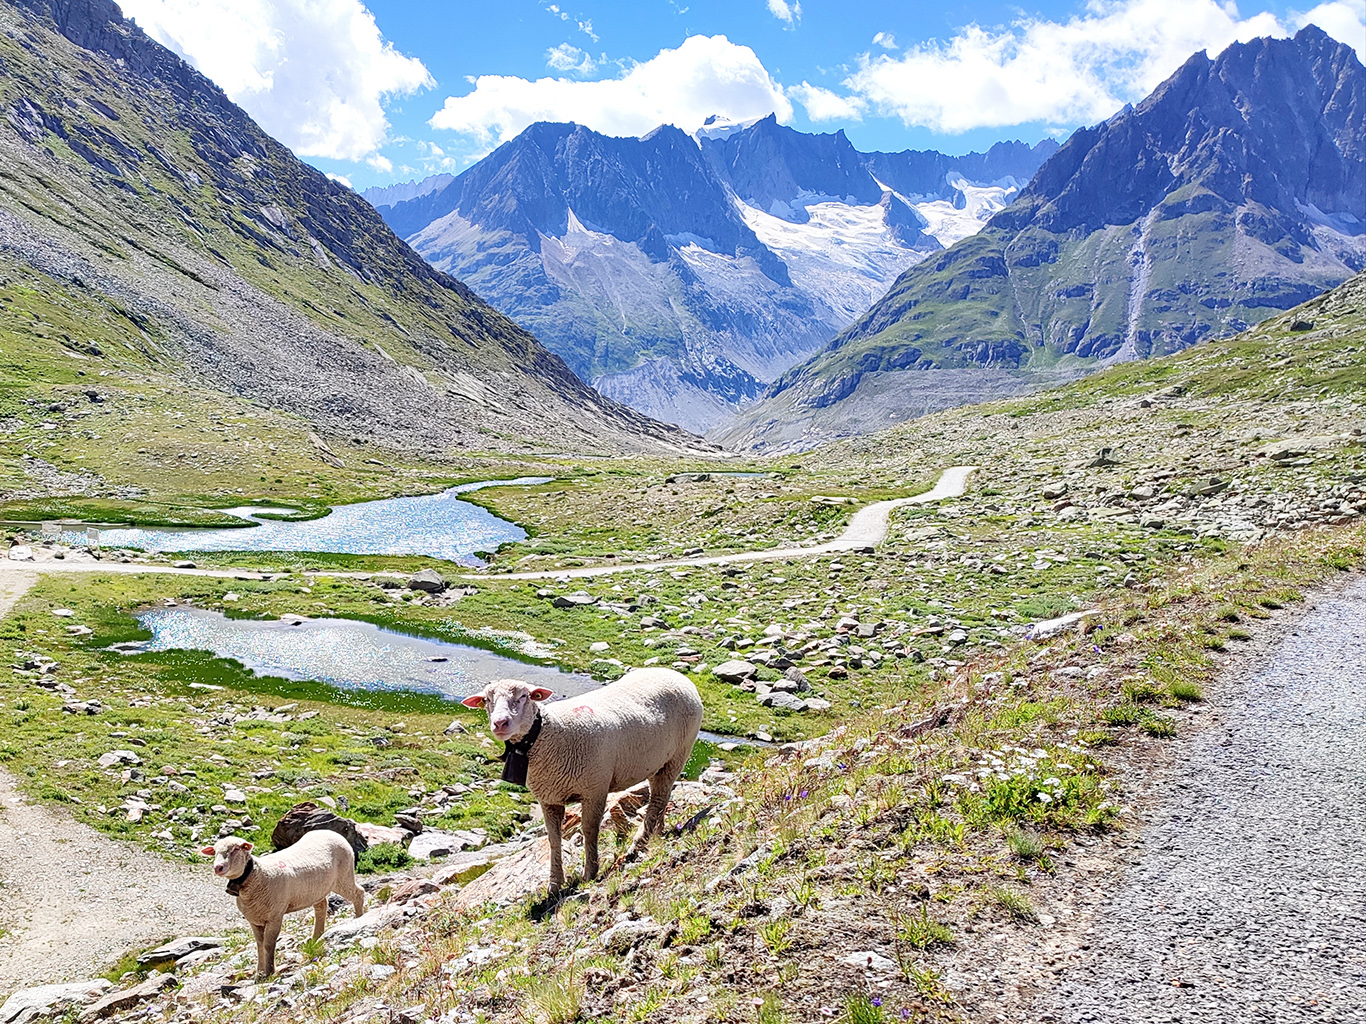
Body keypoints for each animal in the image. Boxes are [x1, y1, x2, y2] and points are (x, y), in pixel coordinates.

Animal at [199, 830, 363, 983]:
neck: (256, 875)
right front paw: (259, 973)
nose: (218, 867)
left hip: (344, 876)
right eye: (215, 851)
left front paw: (270, 971)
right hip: (317, 889)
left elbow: (268, 945)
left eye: (235, 849)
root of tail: (332, 832)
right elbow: (259, 946)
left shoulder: (275, 916)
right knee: (321, 907)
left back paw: (360, 918)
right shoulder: (254, 920)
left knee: (358, 893)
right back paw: (316, 937)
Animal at [467, 669, 704, 895]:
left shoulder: (594, 788)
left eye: (524, 696)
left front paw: (590, 872)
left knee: (657, 800)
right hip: (660, 763)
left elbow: (589, 830)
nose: (500, 723)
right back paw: (656, 834)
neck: (548, 734)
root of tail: (677, 675)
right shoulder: (549, 798)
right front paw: (554, 883)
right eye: (487, 700)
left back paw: (638, 843)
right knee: (662, 797)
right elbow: (553, 839)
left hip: (679, 753)